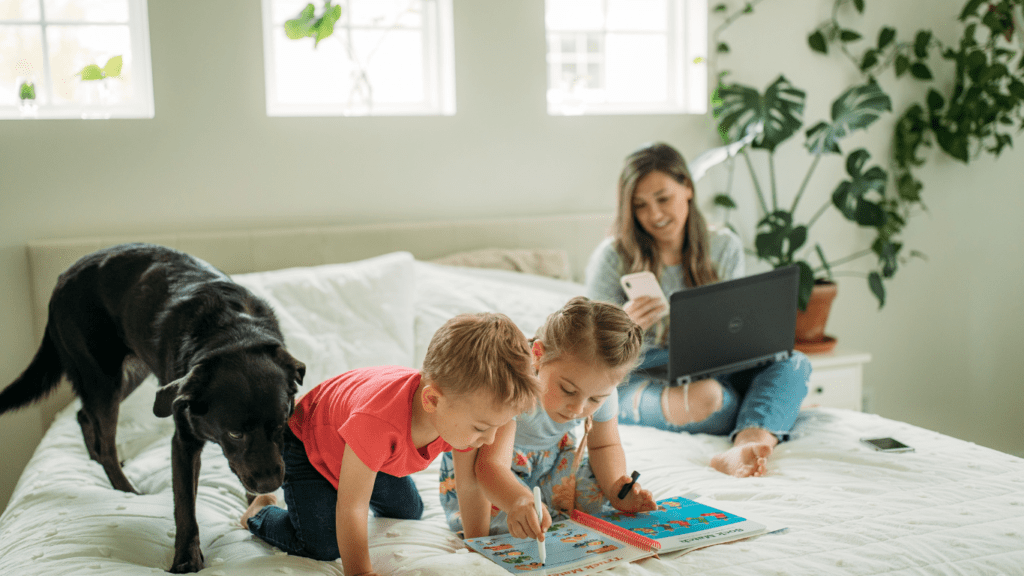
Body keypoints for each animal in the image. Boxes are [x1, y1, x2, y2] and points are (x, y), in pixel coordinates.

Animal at [0, 240, 303, 569]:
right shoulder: (183, 442)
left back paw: (95, 459)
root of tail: (62, 278)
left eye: (282, 425)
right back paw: (125, 488)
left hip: (131, 372)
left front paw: (254, 506)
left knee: (83, 415)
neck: (234, 335)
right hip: (103, 379)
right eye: (235, 434)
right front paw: (186, 559)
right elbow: (185, 507)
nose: (271, 484)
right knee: (105, 439)